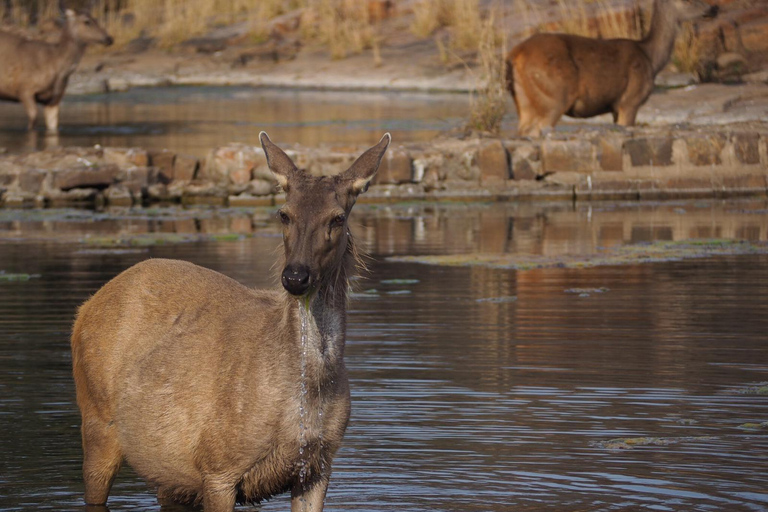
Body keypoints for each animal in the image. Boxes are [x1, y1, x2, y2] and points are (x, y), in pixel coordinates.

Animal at [0, 3, 112, 131]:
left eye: (96, 19)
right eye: (86, 21)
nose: (109, 39)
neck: (55, 63)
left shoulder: (54, 99)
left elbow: (53, 125)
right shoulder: (24, 89)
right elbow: (33, 120)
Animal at [70, 133, 390, 512]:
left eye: (337, 218)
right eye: (284, 214)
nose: (296, 276)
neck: (307, 393)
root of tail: (84, 310)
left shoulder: (318, 465)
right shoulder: (217, 465)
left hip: (168, 472)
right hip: (96, 419)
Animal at [508, 0, 716, 137]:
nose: (712, 8)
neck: (651, 59)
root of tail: (516, 54)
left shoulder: (616, 107)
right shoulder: (630, 100)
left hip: (524, 99)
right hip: (555, 95)